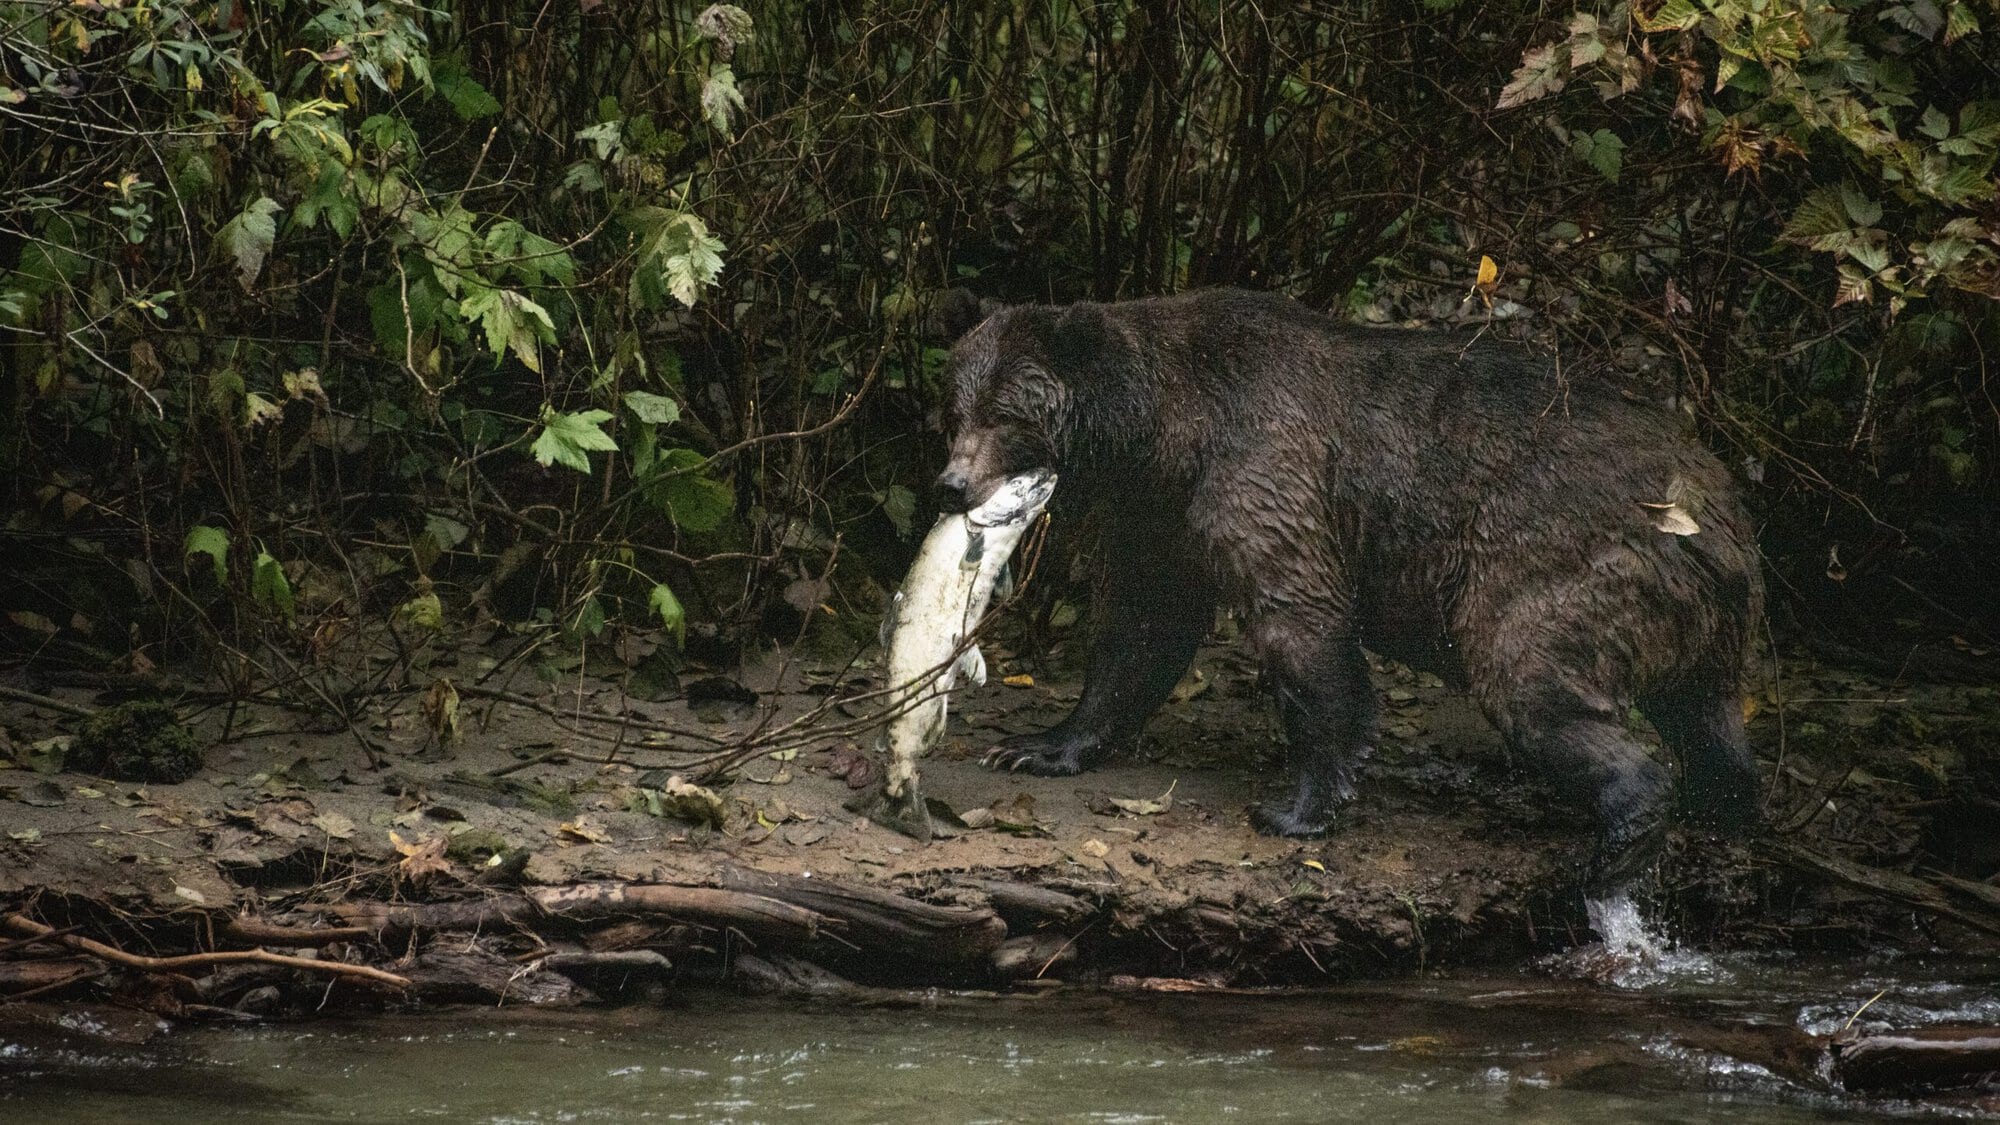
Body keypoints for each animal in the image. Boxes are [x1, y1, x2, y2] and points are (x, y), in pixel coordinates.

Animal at [931, 287, 1762, 889]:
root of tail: (1721, 511)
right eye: (956, 410)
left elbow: (1302, 625)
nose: (950, 484)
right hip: (1692, 616)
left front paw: (1294, 807)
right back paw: (1721, 802)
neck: (1167, 426)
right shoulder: (1164, 512)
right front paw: (1036, 745)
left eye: (1005, 413)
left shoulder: (1265, 467)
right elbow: (1139, 631)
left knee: (1526, 669)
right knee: (1709, 717)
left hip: (1563, 554)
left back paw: (1622, 835)